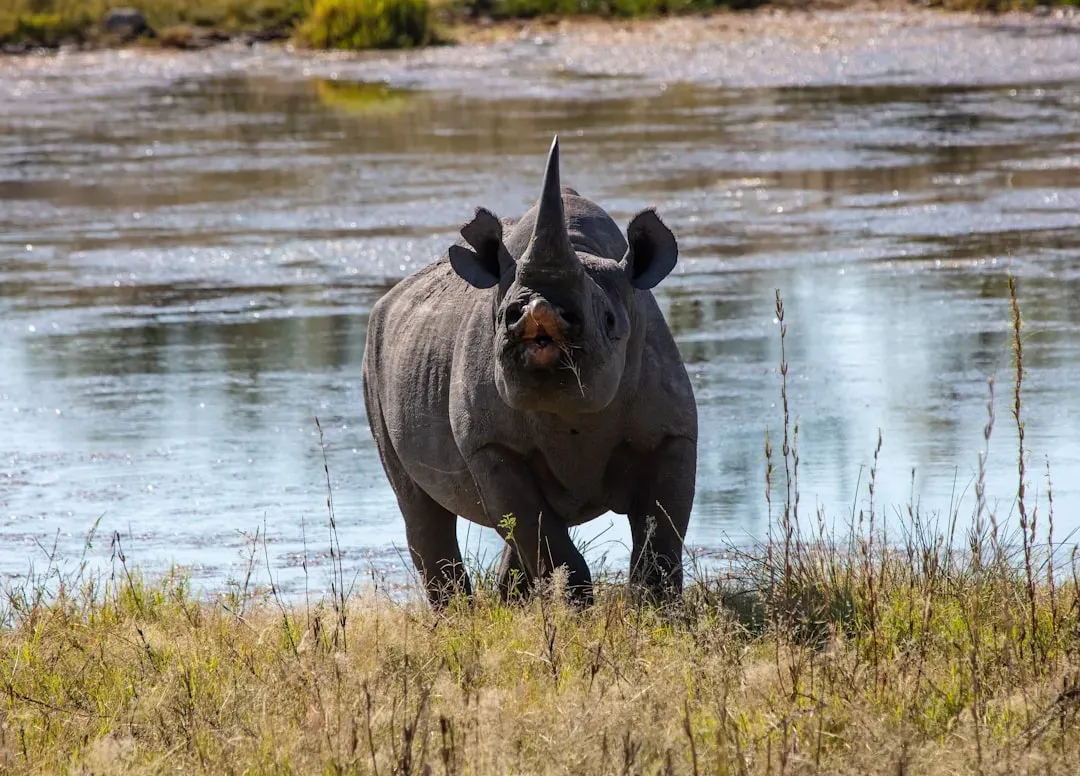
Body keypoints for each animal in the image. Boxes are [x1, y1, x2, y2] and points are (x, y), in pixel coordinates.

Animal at [362, 137, 697, 607]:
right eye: (505, 314)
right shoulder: (489, 445)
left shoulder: (672, 433)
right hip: (372, 359)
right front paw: (577, 611)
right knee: (423, 509)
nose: (536, 310)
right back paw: (459, 616)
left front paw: (654, 611)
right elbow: (541, 535)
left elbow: (661, 534)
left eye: (610, 321)